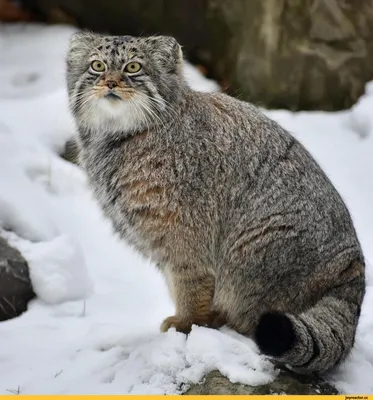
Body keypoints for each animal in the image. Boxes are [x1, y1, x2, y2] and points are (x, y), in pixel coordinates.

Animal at [65, 32, 364, 376]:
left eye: (133, 67)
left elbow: (190, 282)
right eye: (97, 66)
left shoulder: (187, 233)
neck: (127, 136)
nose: (110, 82)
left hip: (252, 249)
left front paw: (187, 323)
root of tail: (353, 273)